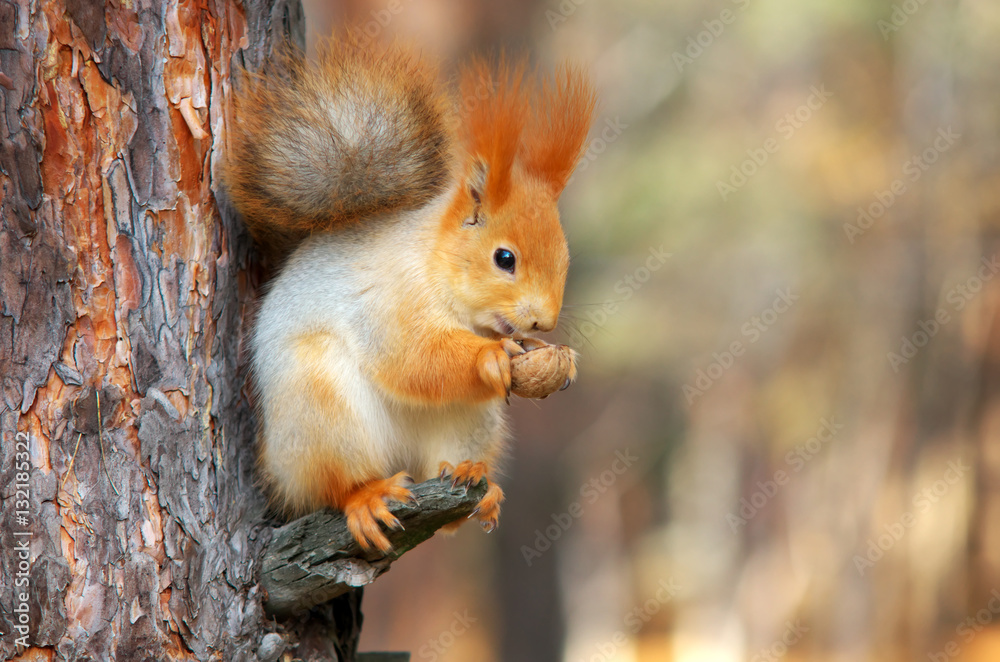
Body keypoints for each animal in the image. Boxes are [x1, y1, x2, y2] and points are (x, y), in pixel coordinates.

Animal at [224, 32, 596, 553]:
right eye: (504, 258)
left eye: (565, 258)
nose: (544, 321)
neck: (434, 263)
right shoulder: (388, 301)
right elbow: (413, 356)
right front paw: (491, 356)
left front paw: (558, 356)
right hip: (319, 407)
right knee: (333, 484)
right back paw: (367, 498)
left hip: (470, 420)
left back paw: (475, 482)